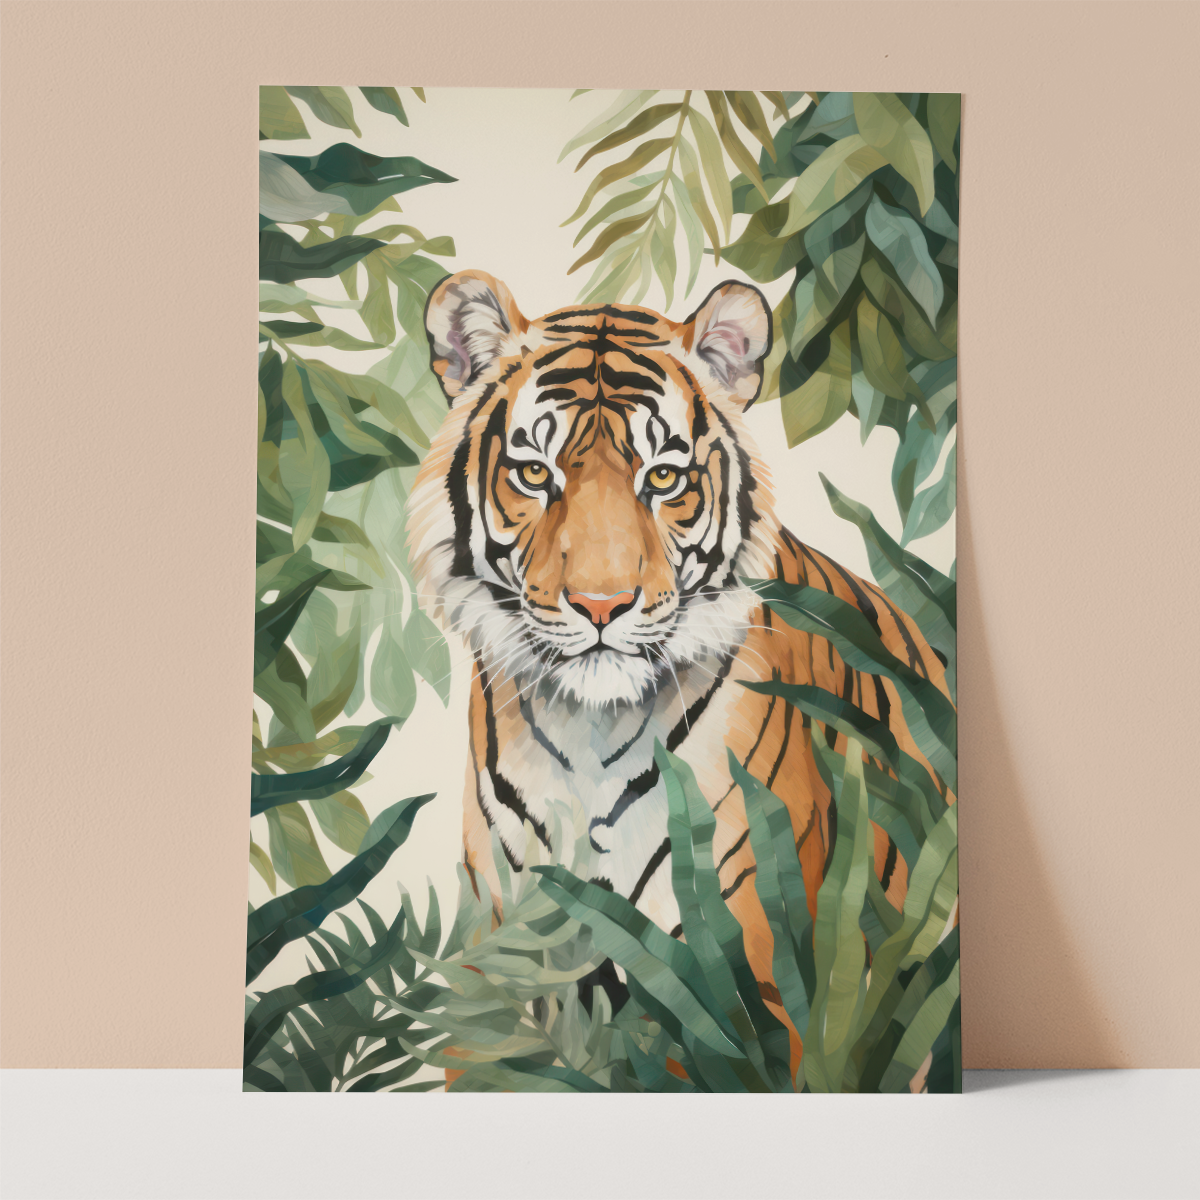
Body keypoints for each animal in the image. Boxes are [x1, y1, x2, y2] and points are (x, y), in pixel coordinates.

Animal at [405, 269, 954, 1067]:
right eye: (535, 473)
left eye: (663, 478)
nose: (601, 605)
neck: (588, 734)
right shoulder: (499, 952)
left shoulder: (747, 971)